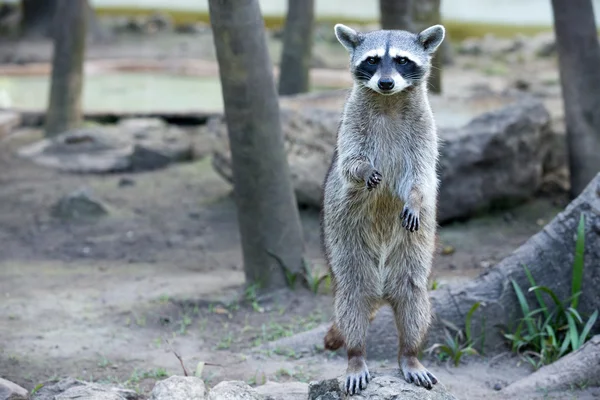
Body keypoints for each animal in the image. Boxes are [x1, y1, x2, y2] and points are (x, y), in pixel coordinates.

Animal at [318, 21, 446, 394]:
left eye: (402, 61)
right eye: (373, 60)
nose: (386, 82)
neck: (389, 101)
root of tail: (382, 290)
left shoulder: (425, 131)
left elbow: (421, 177)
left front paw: (415, 199)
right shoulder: (350, 125)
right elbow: (350, 164)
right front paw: (363, 172)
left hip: (413, 257)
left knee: (415, 302)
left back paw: (410, 354)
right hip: (345, 251)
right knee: (351, 303)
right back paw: (356, 355)